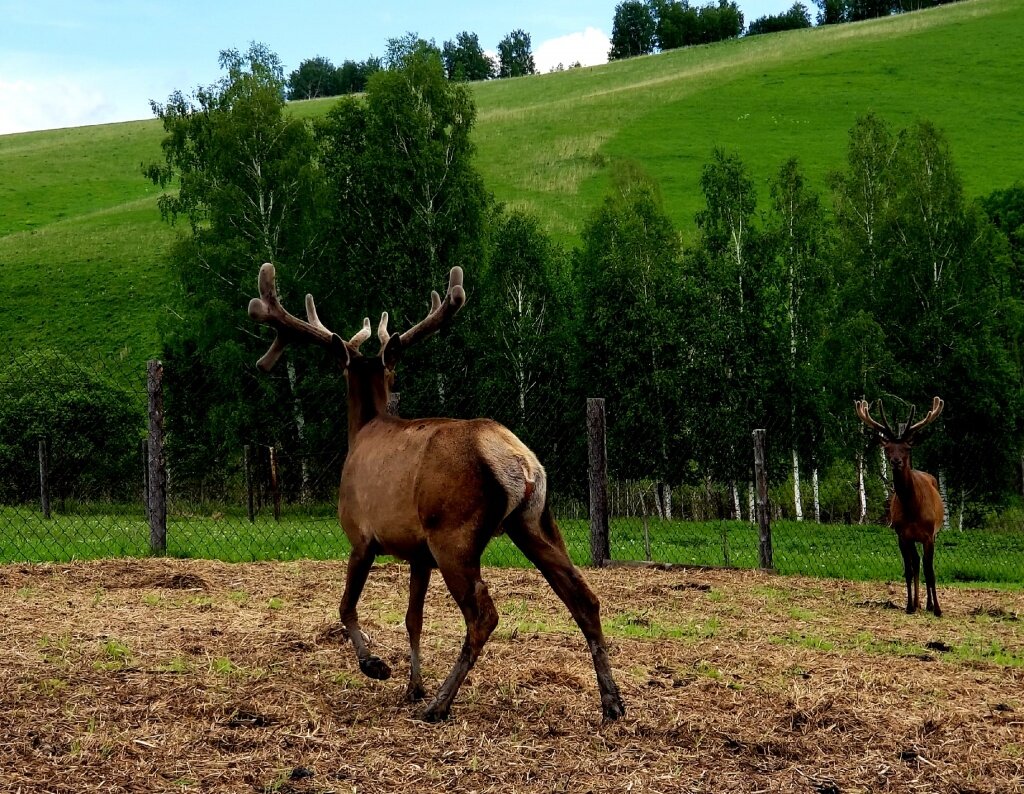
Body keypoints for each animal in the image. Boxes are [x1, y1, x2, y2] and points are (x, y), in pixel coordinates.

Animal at [247, 264, 622, 725]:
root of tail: (519, 462)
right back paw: (612, 701)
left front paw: (375, 665)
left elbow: (346, 606)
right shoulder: (418, 552)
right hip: (534, 521)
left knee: (483, 614)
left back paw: (440, 703)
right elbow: (414, 618)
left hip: (454, 533)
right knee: (584, 597)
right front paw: (413, 684)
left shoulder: (362, 535)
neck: (363, 431)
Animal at [851, 401, 946, 618]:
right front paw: (910, 606)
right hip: (912, 539)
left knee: (926, 565)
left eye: (907, 447)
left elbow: (931, 571)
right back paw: (918, 603)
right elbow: (909, 570)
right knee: (917, 563)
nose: (896, 461)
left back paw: (929, 605)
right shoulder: (902, 534)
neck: (913, 509)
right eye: (887, 447)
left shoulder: (929, 535)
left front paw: (937, 609)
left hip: (934, 534)